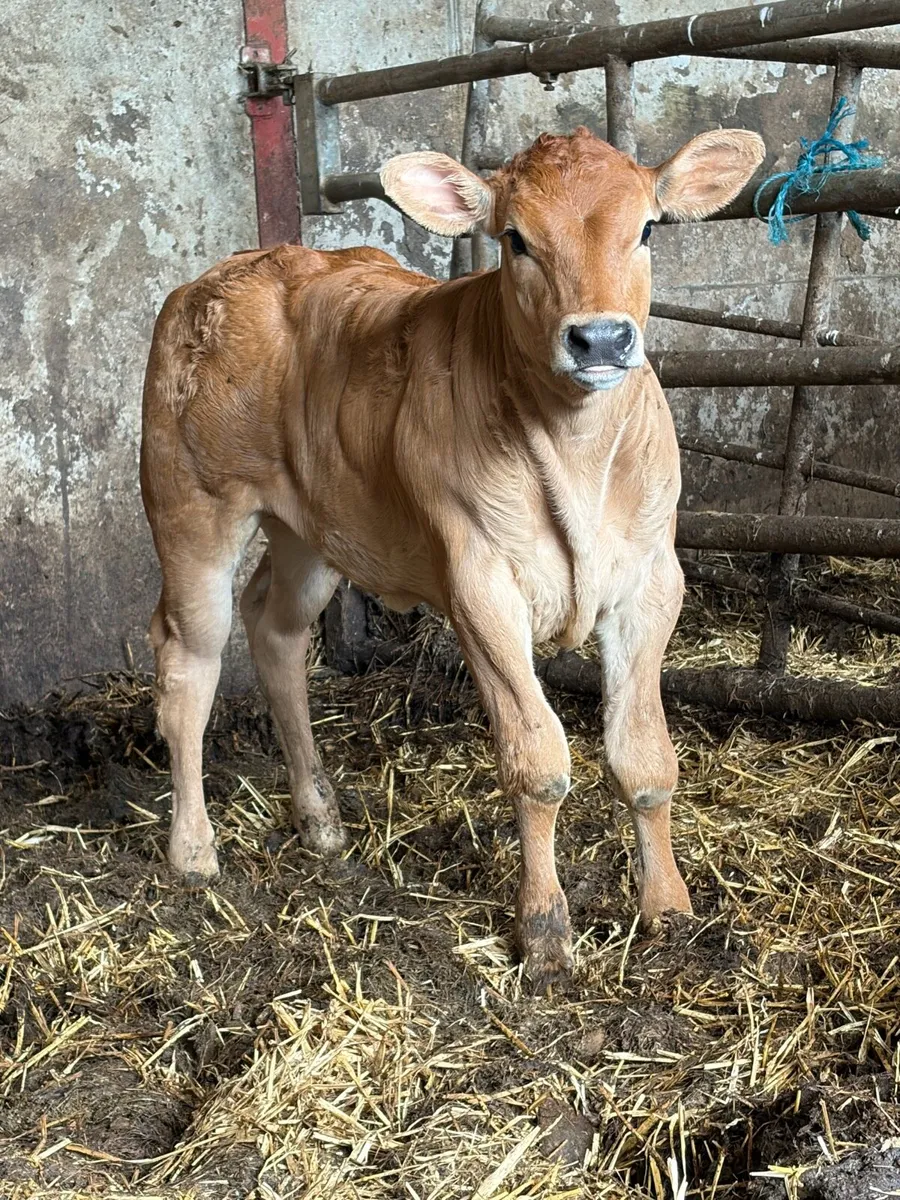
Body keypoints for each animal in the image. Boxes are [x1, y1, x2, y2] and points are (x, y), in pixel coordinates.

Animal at [140, 126, 764, 990]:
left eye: (647, 229)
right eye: (516, 240)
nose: (601, 338)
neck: (575, 448)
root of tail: (230, 271)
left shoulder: (651, 582)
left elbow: (644, 759)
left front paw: (668, 911)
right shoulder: (480, 589)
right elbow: (538, 763)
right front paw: (544, 932)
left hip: (313, 530)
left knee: (277, 634)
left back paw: (320, 819)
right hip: (191, 507)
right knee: (188, 666)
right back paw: (194, 851)